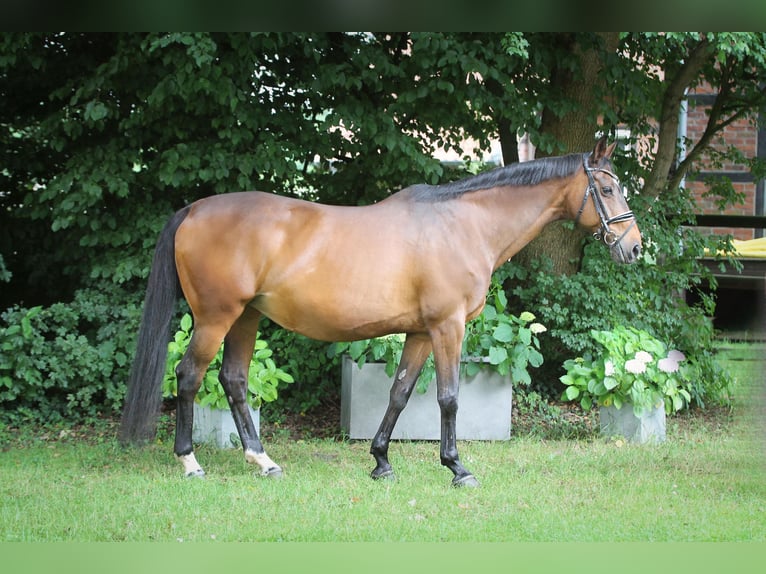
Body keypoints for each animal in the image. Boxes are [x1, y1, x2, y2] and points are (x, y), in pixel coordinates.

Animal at [118, 137, 640, 488]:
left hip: (246, 317)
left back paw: (263, 461)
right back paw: (190, 462)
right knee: (189, 376)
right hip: (215, 316)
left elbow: (400, 393)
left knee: (234, 379)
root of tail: (194, 209)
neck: (464, 224)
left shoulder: (421, 333)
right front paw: (457, 468)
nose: (634, 248)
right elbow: (449, 398)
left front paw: (381, 461)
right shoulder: (447, 327)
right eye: (607, 190)